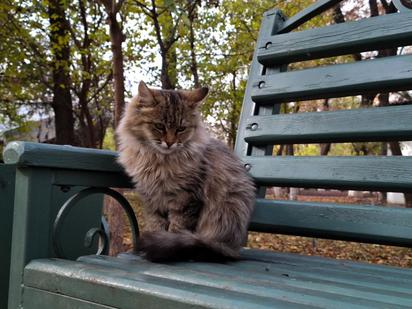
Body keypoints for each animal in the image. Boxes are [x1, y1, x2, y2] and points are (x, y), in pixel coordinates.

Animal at [116, 80, 256, 262]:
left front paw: (165, 243)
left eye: (181, 129)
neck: (158, 161)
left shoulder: (186, 198)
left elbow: (176, 229)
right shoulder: (152, 199)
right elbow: (157, 224)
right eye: (159, 126)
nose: (170, 143)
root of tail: (233, 248)